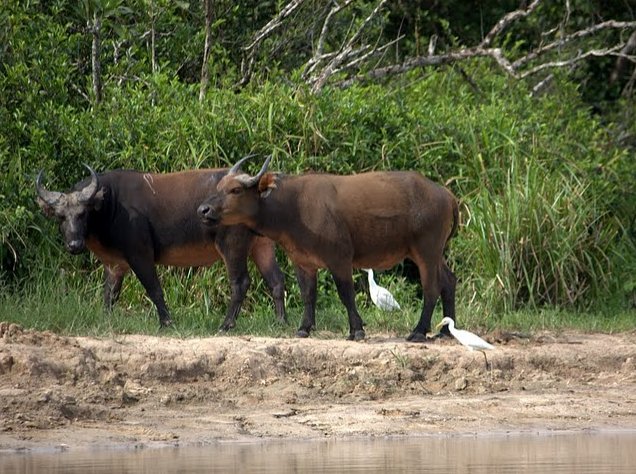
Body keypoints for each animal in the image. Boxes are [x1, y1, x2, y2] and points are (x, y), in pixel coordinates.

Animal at [37, 165, 286, 328]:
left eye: (83, 213)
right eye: (60, 216)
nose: (74, 244)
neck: (111, 205)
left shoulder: (140, 254)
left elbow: (154, 288)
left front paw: (167, 322)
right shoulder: (115, 264)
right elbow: (110, 294)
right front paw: (106, 319)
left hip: (232, 245)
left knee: (240, 282)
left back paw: (226, 325)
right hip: (262, 245)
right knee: (276, 280)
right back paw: (281, 322)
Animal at [198, 157, 458, 342]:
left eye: (235, 190)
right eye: (219, 186)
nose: (203, 209)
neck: (292, 208)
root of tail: (445, 194)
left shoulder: (340, 259)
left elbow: (346, 293)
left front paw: (356, 330)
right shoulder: (303, 262)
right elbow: (308, 294)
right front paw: (304, 328)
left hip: (426, 251)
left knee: (431, 287)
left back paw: (419, 332)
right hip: (435, 253)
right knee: (449, 280)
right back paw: (445, 331)